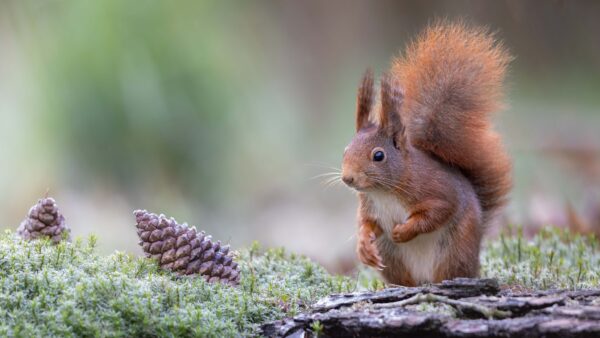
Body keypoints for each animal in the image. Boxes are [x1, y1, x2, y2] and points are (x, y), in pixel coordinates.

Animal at [342, 21, 510, 286]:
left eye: (378, 156)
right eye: (345, 150)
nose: (347, 178)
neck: (384, 192)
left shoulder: (436, 190)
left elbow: (438, 212)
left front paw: (403, 231)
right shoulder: (369, 206)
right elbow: (366, 224)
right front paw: (363, 246)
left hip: (456, 248)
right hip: (392, 257)